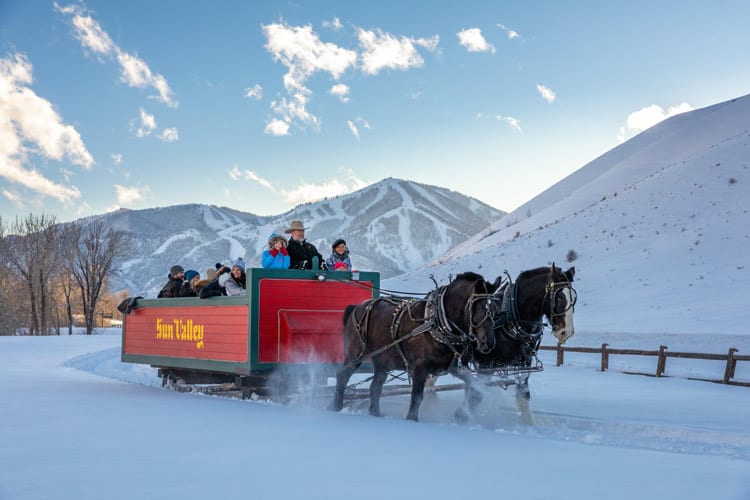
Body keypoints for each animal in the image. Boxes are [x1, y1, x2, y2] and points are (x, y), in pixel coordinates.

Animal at [330, 272, 500, 420]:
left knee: (375, 386)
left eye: (494, 309)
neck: (438, 322)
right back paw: (336, 407)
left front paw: (463, 413)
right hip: (354, 356)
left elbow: (475, 385)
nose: (488, 342)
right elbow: (417, 396)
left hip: (382, 361)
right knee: (342, 376)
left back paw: (375, 413)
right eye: (480, 307)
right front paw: (412, 419)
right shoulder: (420, 367)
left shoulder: (455, 367)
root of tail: (355, 308)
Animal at [456, 264, 580, 424]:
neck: (510, 318)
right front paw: (461, 416)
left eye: (573, 298)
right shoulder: (486, 364)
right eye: (559, 296)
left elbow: (523, 396)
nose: (567, 332)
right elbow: (476, 394)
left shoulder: (524, 364)